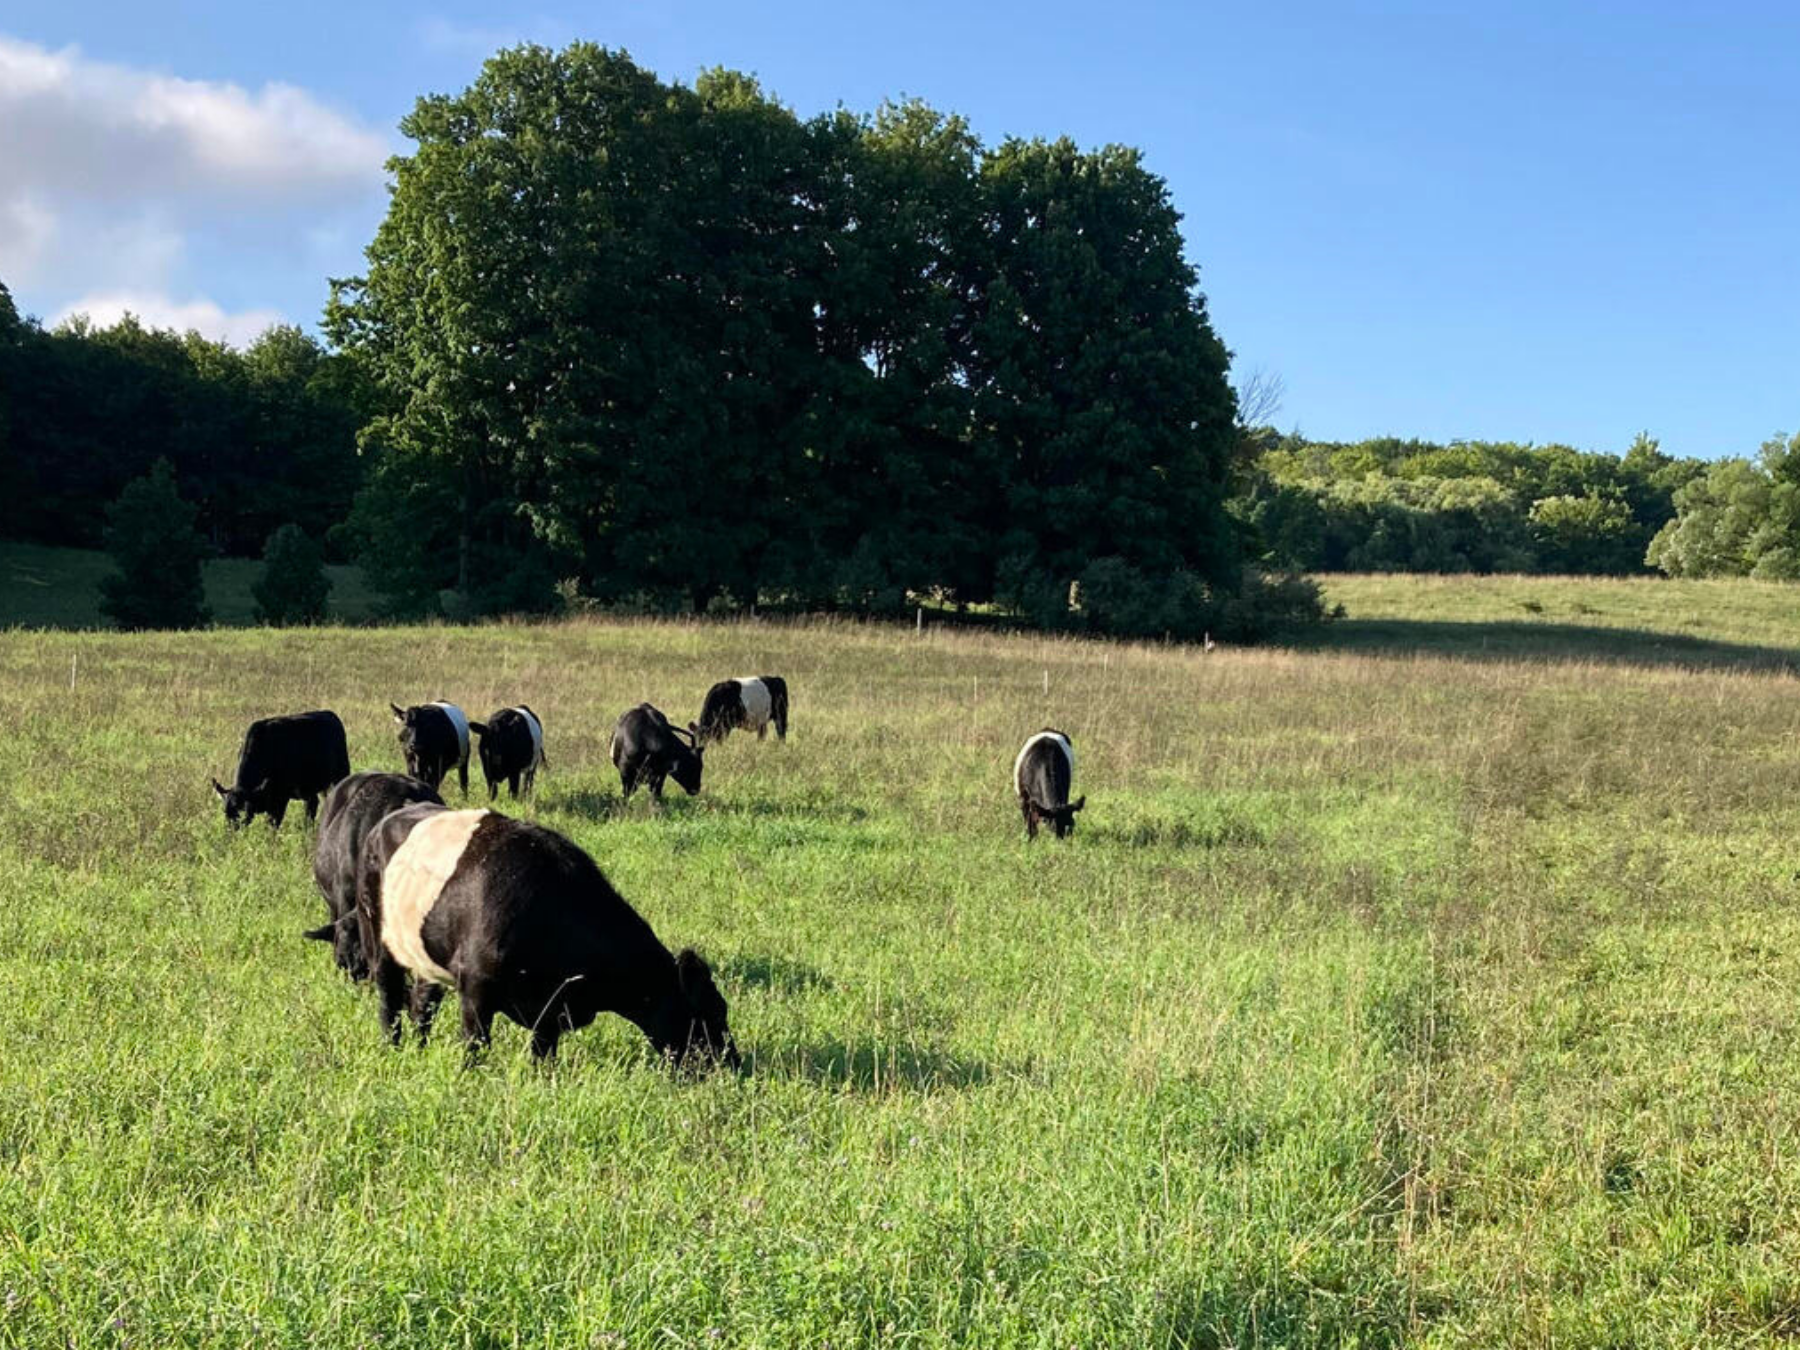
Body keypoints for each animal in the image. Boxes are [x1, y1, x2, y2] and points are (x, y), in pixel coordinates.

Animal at [211, 709, 350, 829]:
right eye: (225, 812)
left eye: (243, 812)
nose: (232, 831)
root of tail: (330, 715)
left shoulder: (281, 798)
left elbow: (272, 825)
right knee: (312, 805)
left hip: (341, 774)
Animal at [355, 803, 739, 1069]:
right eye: (713, 1012)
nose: (732, 1066)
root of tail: (385, 822)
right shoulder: (476, 988)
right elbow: (475, 1045)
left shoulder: (551, 1009)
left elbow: (542, 1056)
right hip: (377, 935)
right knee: (390, 998)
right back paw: (392, 1048)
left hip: (426, 955)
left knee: (422, 1004)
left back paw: (419, 1050)